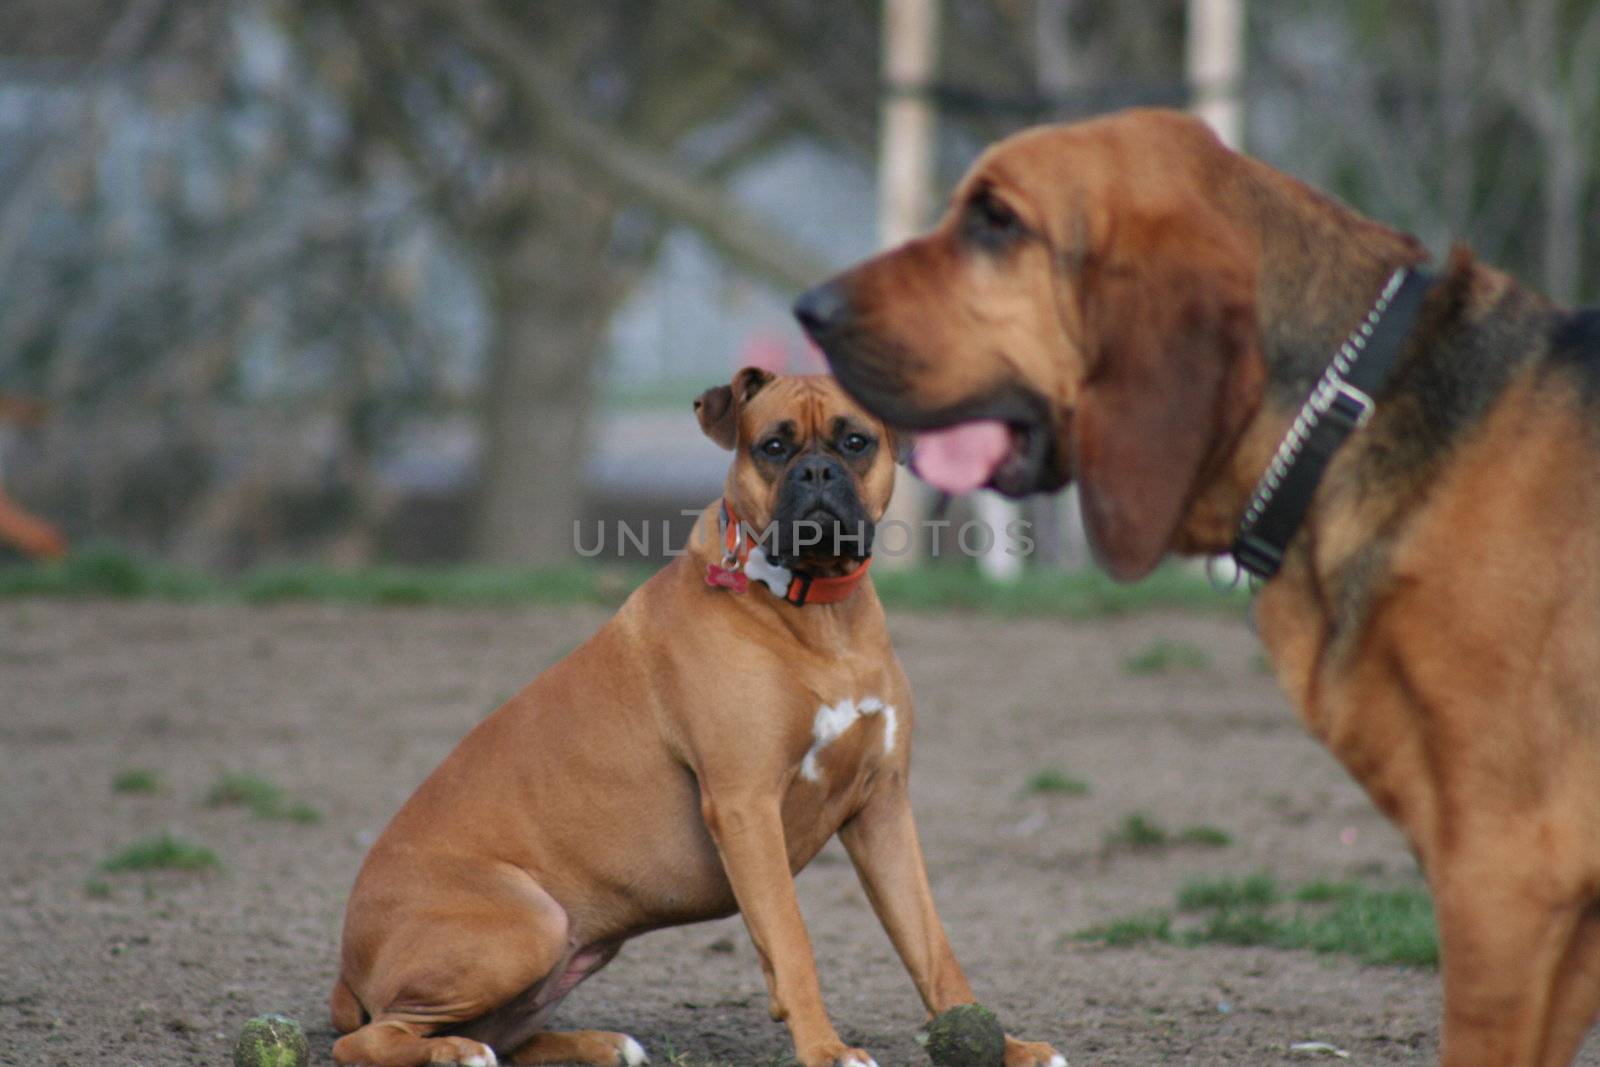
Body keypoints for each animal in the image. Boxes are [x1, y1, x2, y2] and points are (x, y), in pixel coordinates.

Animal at [331, 369, 1068, 1067]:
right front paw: (825, 1048)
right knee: (369, 1039)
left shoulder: (882, 807)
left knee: (502, 1033)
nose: (817, 472)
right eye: (773, 446)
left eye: (856, 441)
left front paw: (1000, 1043)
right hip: (530, 922)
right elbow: (792, 939)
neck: (816, 612)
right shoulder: (746, 807)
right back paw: (454, 1051)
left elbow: (930, 942)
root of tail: (345, 959)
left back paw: (598, 1043)